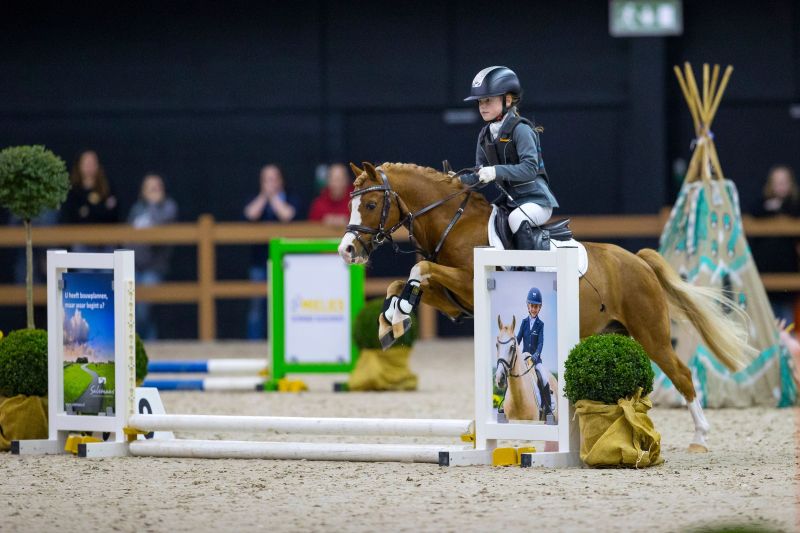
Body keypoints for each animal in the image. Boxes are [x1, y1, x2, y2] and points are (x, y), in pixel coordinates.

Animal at [338, 161, 751, 452]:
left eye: (371, 204)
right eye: (352, 204)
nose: (347, 250)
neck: (453, 224)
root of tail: (637, 261)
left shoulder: (467, 283)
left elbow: (418, 269)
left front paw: (395, 316)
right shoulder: (454, 302)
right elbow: (405, 281)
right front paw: (391, 321)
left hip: (651, 332)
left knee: (681, 374)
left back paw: (700, 438)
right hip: (621, 331)